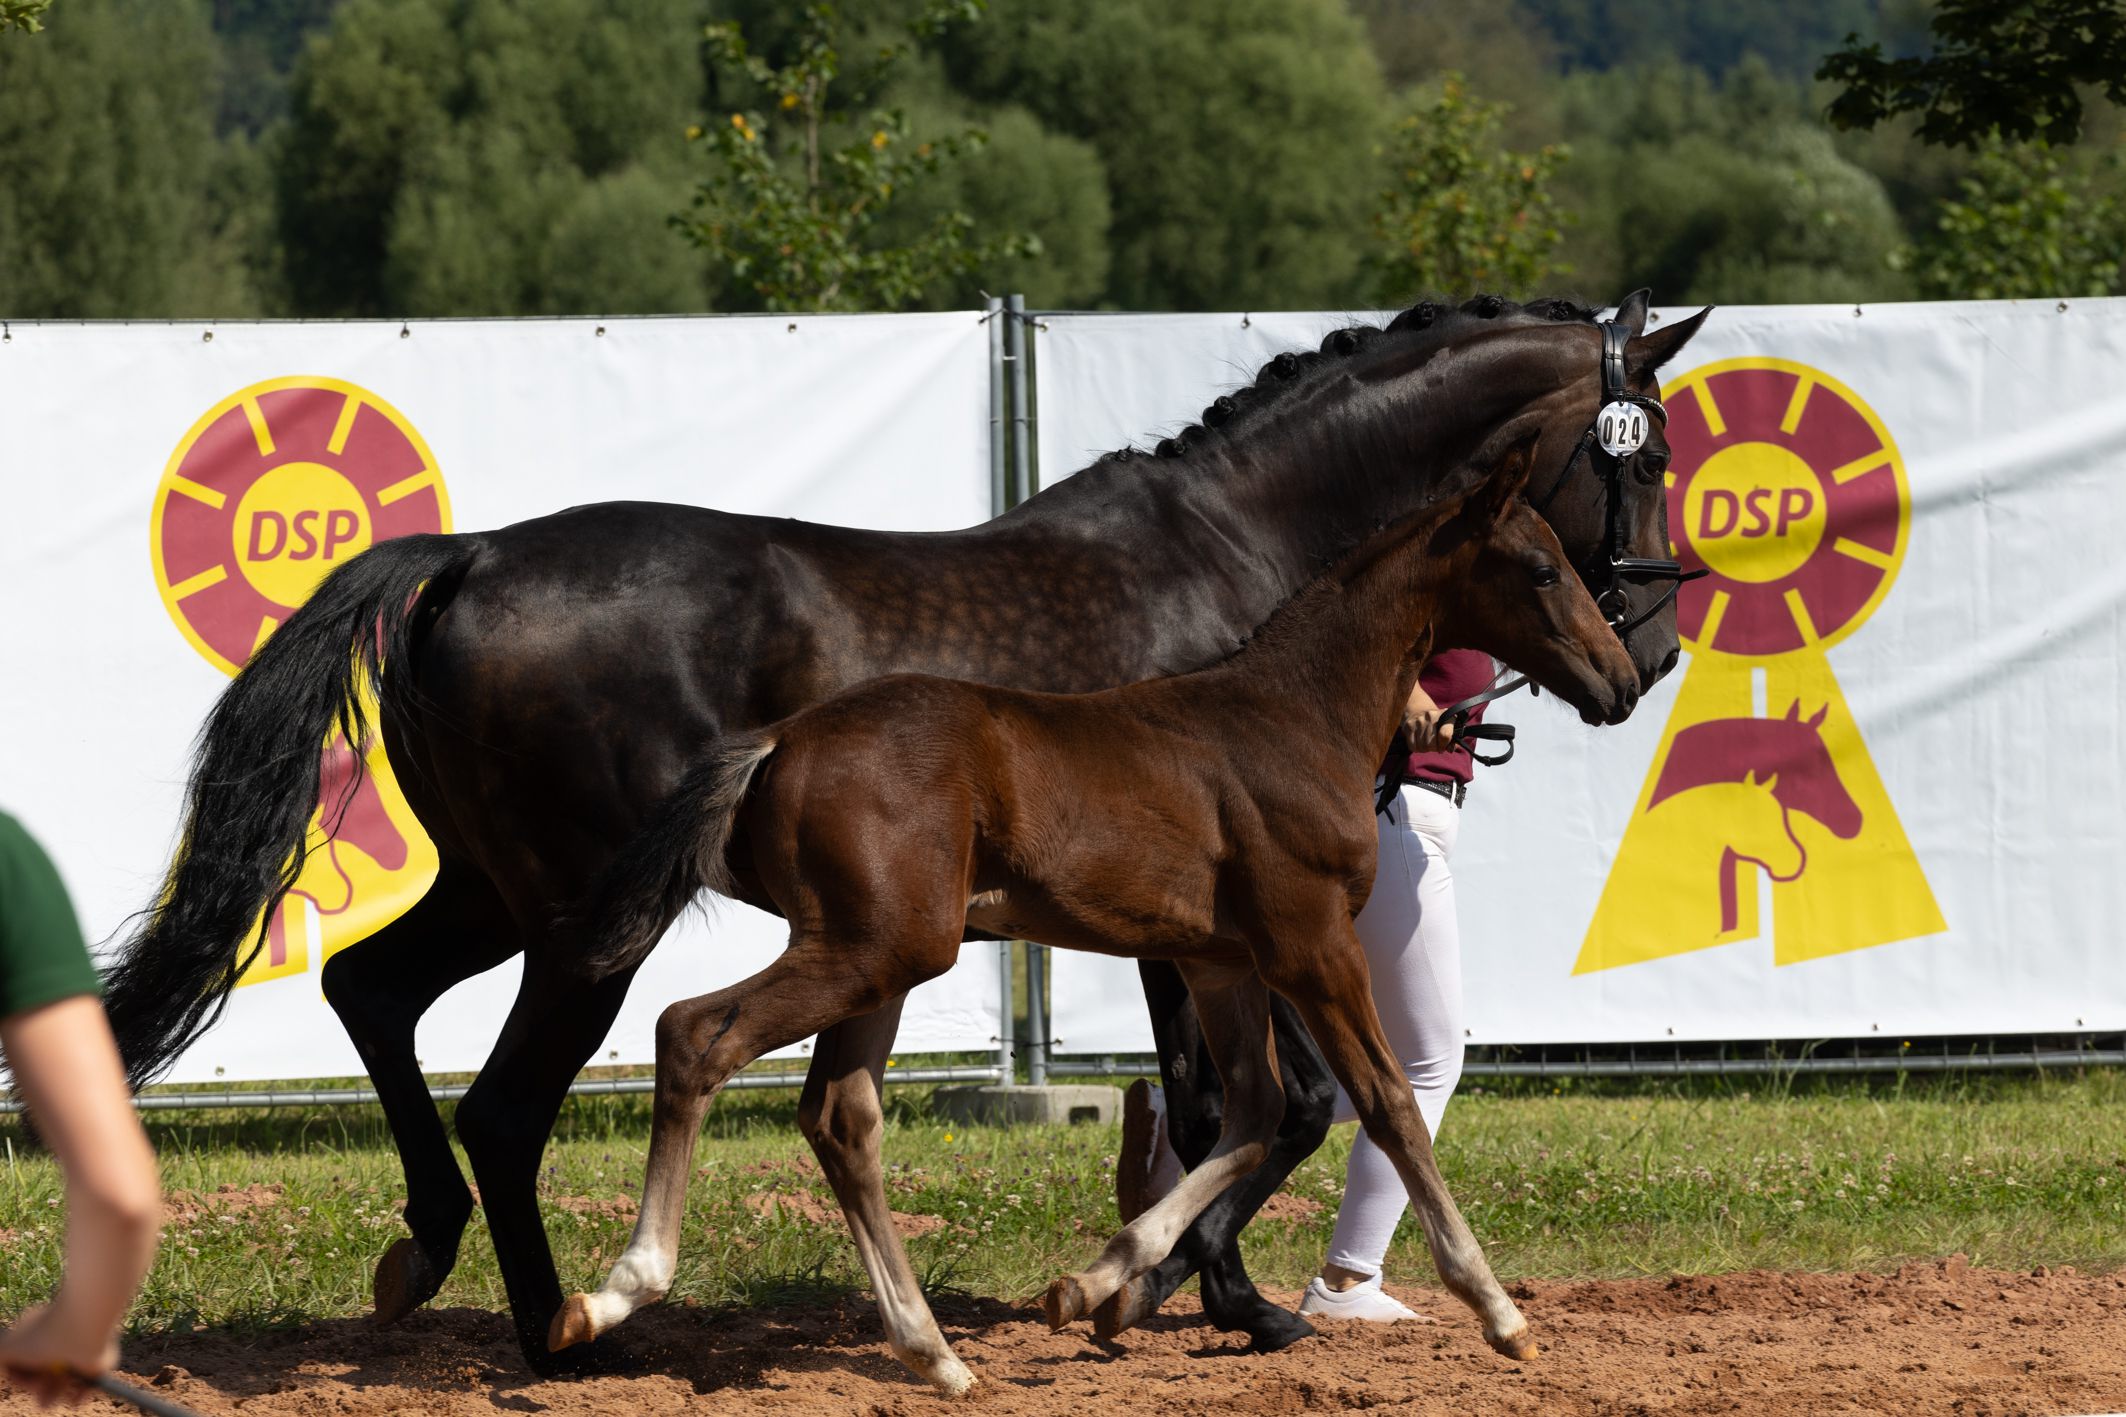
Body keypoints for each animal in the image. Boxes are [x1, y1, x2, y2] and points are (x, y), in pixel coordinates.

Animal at [544, 444, 1624, 1393]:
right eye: (1540, 568)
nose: (1617, 678)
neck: (1293, 715)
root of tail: (778, 739)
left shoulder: (1220, 960)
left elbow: (1253, 1109)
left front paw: (1093, 1283)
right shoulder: (1311, 943)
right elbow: (1387, 1100)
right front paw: (1499, 1311)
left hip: (882, 955)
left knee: (840, 1116)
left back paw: (935, 1355)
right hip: (875, 948)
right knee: (695, 1033)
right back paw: (612, 1294)